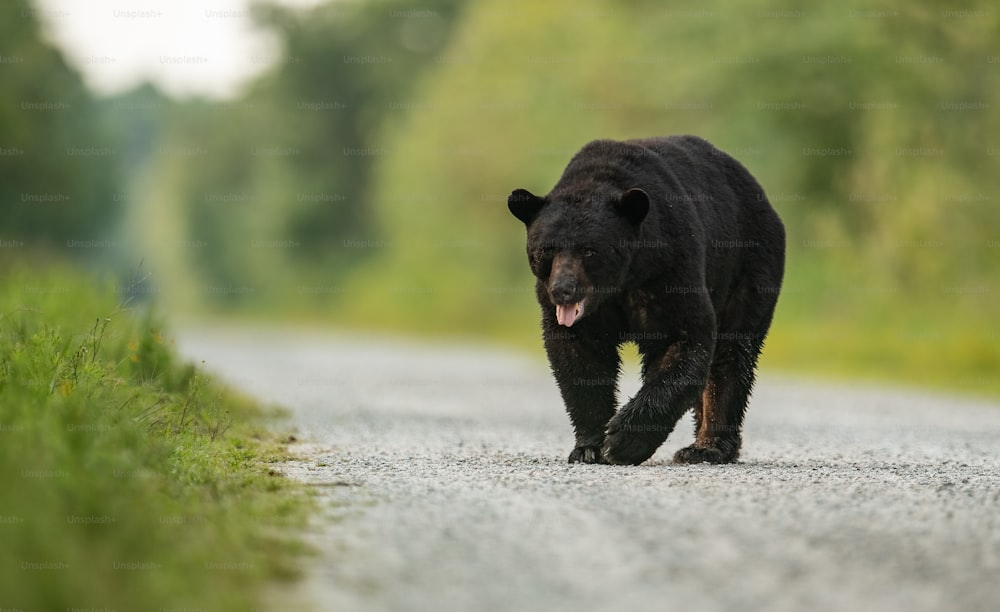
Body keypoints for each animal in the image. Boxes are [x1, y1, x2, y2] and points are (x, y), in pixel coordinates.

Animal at [512, 136, 784, 466]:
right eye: (546, 249)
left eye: (589, 249)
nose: (563, 289)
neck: (622, 281)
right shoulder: (576, 313)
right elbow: (580, 360)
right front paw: (589, 447)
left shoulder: (669, 266)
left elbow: (682, 340)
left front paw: (623, 440)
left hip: (748, 265)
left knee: (732, 352)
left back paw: (707, 447)